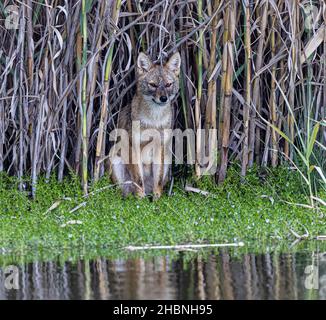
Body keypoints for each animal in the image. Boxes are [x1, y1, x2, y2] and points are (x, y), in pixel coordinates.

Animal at [109, 51, 181, 199]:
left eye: (168, 84)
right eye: (153, 85)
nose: (163, 98)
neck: (153, 121)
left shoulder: (159, 148)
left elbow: (157, 182)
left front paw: (157, 201)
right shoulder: (134, 148)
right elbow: (138, 180)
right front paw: (140, 200)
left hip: (167, 160)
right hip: (115, 158)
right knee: (124, 192)